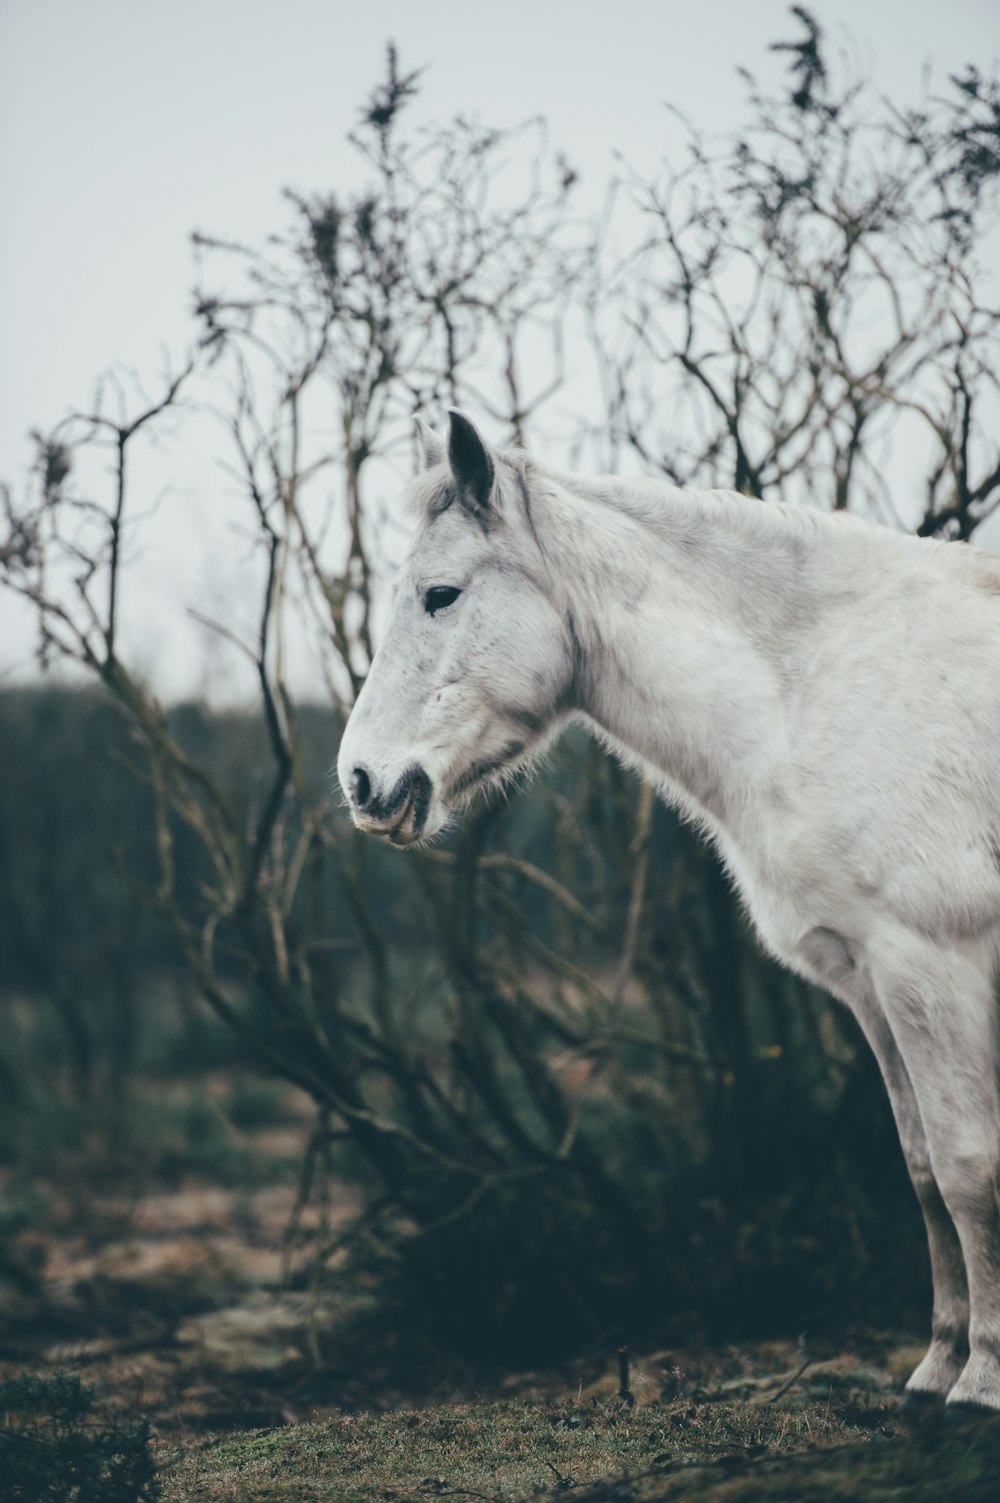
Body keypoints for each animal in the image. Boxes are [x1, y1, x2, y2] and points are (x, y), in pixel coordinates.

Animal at [336, 408, 998, 1406]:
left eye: (440, 595)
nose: (363, 782)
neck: (821, 688)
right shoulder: (873, 982)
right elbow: (923, 1171)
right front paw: (935, 1370)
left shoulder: (935, 965)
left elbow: (969, 1166)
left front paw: (983, 1379)